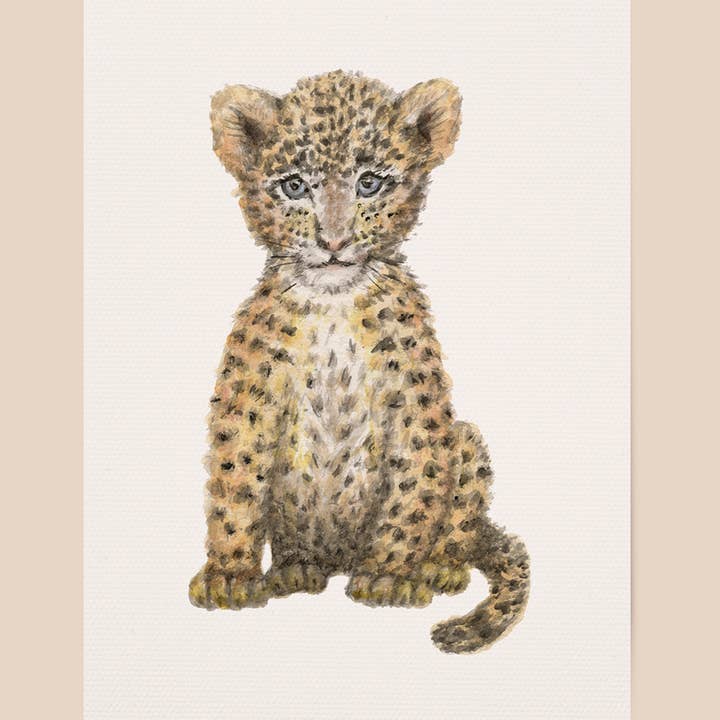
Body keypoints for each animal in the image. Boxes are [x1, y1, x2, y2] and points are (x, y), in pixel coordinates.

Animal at [188, 70, 529, 653]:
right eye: (295, 186)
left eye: (370, 183)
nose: (334, 241)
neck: (333, 299)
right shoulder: (249, 396)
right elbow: (236, 481)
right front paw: (229, 576)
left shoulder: (416, 407)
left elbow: (415, 489)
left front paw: (390, 575)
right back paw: (296, 568)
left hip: (465, 439)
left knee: (461, 516)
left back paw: (438, 567)